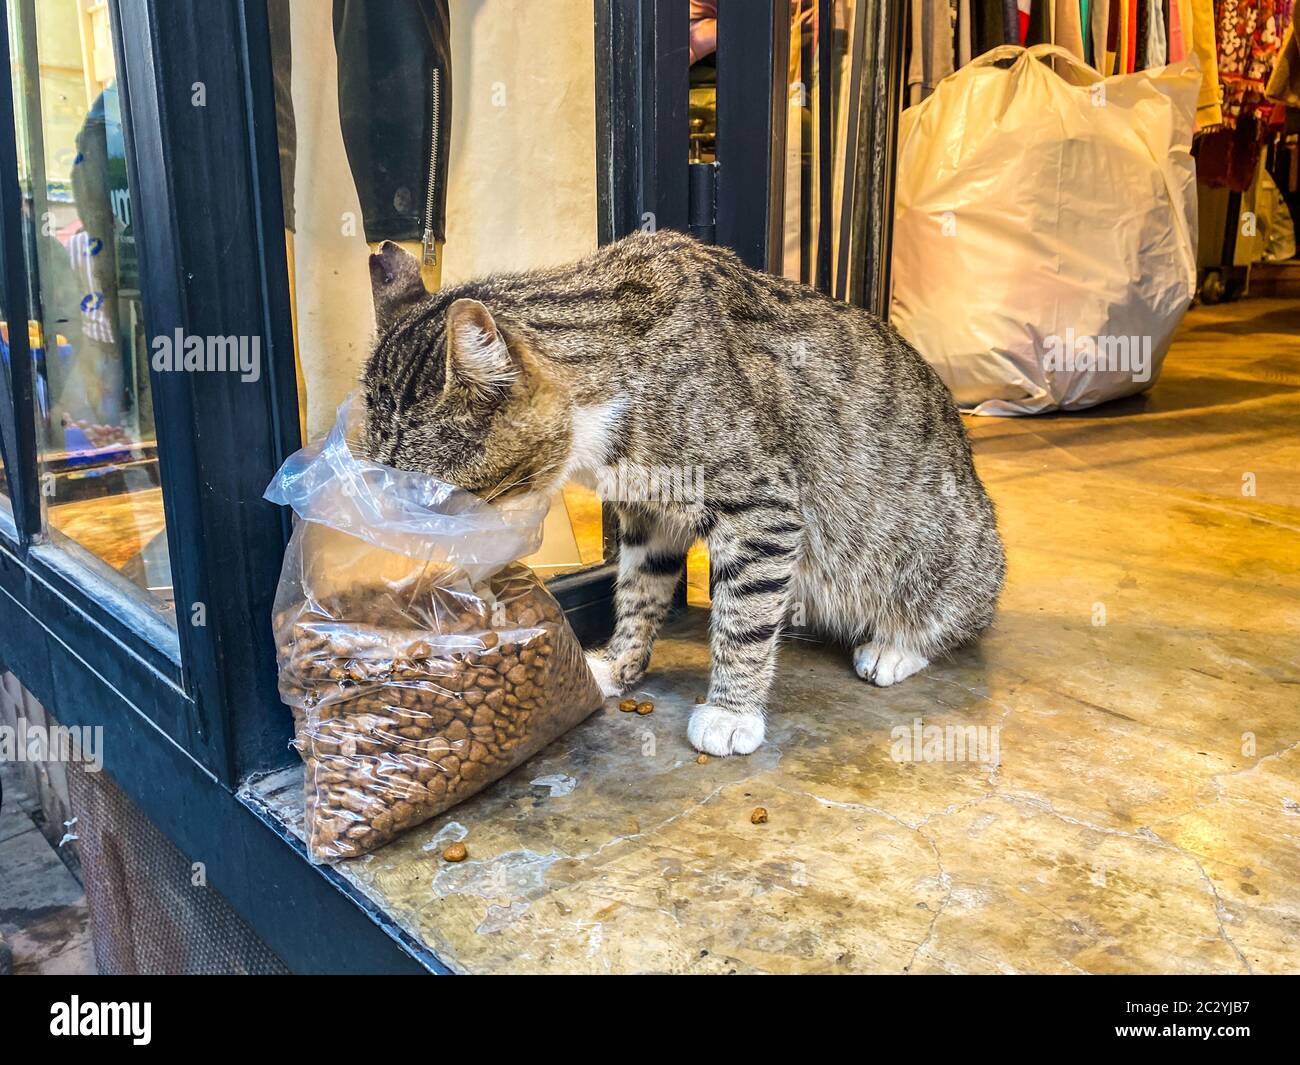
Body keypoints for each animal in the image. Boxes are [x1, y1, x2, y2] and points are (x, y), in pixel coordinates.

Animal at [366, 231, 1003, 759]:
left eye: (433, 499)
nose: (406, 550)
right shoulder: (649, 516)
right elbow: (638, 591)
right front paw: (619, 665)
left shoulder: (762, 507)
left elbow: (744, 616)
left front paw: (731, 711)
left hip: (943, 556)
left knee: (956, 615)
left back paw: (895, 646)